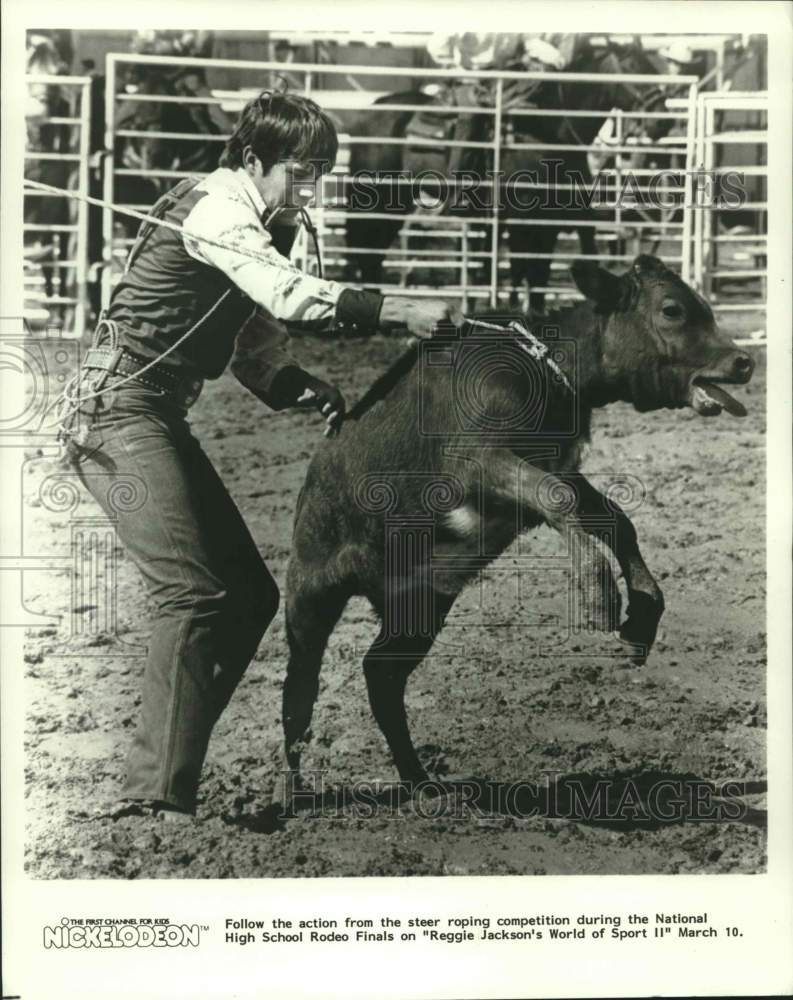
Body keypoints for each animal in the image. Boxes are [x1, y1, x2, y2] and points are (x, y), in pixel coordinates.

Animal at [282, 254, 752, 784]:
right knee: (298, 694)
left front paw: (642, 615)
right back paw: (294, 790)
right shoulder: (477, 462)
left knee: (381, 674)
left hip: (419, 607)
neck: (544, 370)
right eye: (672, 309)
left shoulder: (557, 468)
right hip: (310, 595)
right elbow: (562, 502)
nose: (744, 362)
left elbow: (612, 519)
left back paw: (419, 779)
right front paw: (600, 599)